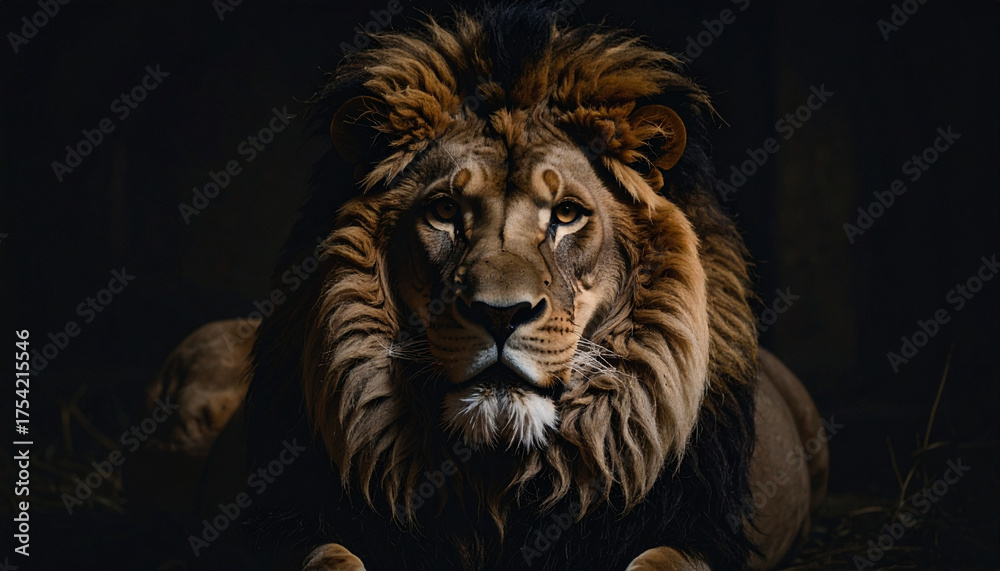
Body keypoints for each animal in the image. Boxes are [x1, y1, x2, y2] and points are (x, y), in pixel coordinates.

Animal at [130, 5, 829, 570]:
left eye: (566, 215)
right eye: (445, 211)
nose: (500, 315)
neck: (497, 478)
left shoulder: (694, 529)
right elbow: (331, 558)